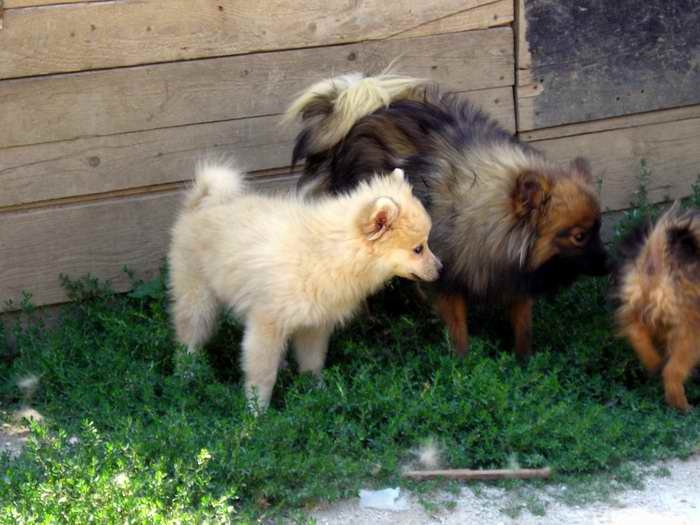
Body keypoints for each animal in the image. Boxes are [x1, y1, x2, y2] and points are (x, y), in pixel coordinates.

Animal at [168, 159, 441, 410]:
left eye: (426, 244)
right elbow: (262, 373)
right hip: (198, 299)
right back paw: (187, 375)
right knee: (189, 338)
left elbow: (312, 363)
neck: (327, 251)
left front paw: (317, 393)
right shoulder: (268, 323)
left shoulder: (315, 324)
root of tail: (201, 203)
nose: (440, 269)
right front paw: (256, 412)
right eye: (418, 249)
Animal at [285, 73, 609, 358]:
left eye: (598, 229)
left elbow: (522, 327)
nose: (609, 265)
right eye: (579, 236)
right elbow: (459, 332)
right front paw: (462, 366)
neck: (488, 207)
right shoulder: (451, 279)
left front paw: (523, 363)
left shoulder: (512, 274)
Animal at [614, 205, 700, 412]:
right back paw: (682, 406)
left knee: (636, 333)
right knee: (672, 372)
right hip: (690, 331)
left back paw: (652, 362)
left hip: (638, 309)